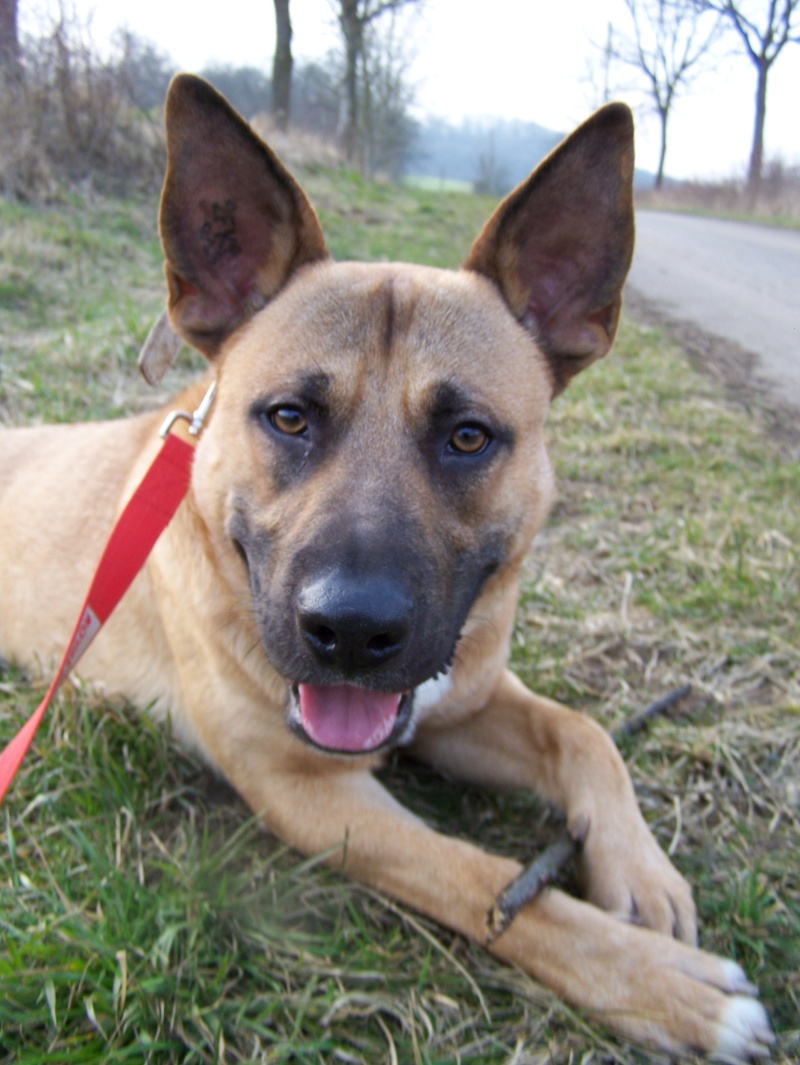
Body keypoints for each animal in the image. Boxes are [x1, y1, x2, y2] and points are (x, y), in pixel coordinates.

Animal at [0, 72, 775, 1056]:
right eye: (288, 416)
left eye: (468, 436)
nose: (350, 630)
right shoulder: (306, 791)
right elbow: (477, 873)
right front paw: (660, 983)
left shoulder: (463, 703)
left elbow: (583, 732)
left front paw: (640, 872)